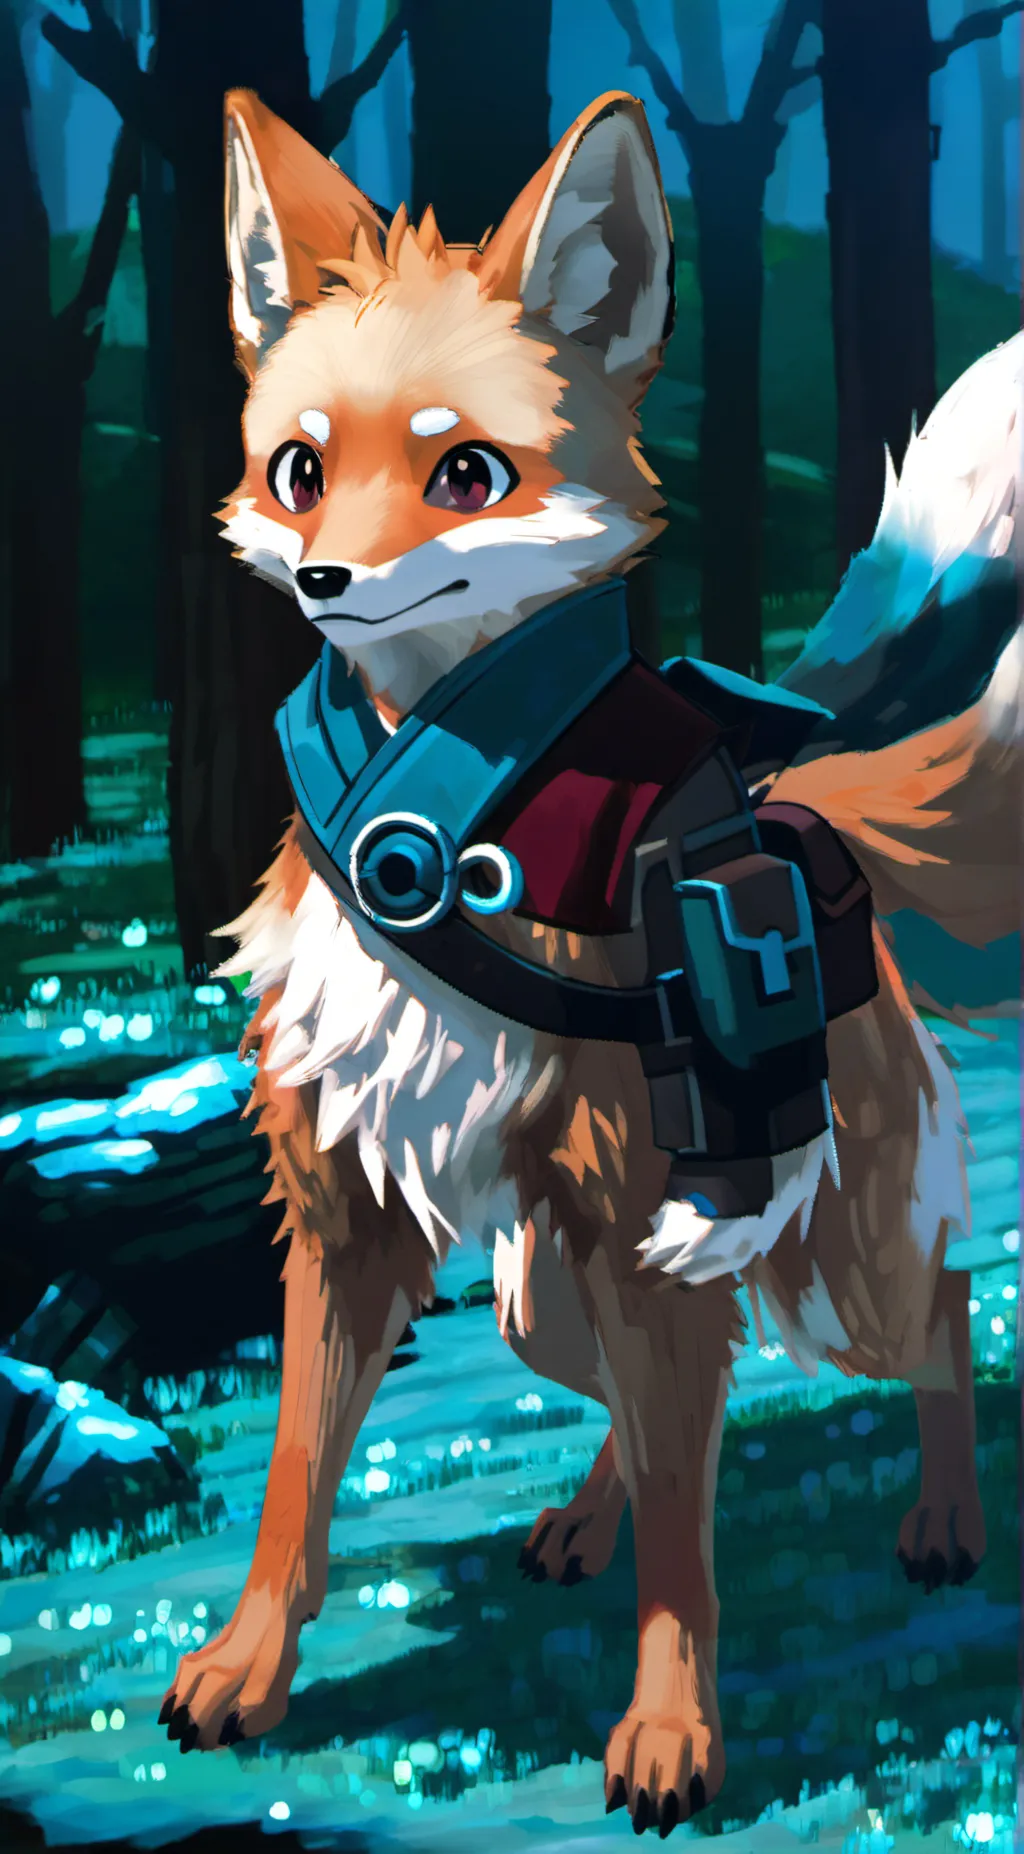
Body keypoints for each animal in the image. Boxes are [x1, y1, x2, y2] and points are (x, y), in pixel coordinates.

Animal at [157, 86, 1022, 1837]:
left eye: (468, 473)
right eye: (298, 471)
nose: (329, 581)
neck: (437, 819)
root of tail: (803, 800)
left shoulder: (644, 1216)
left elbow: (689, 1559)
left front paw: (672, 1733)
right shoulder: (348, 1212)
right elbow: (293, 1483)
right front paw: (248, 1670)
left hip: (819, 1262)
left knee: (943, 1307)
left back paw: (948, 1519)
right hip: (539, 1291)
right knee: (644, 1400)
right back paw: (579, 1520)